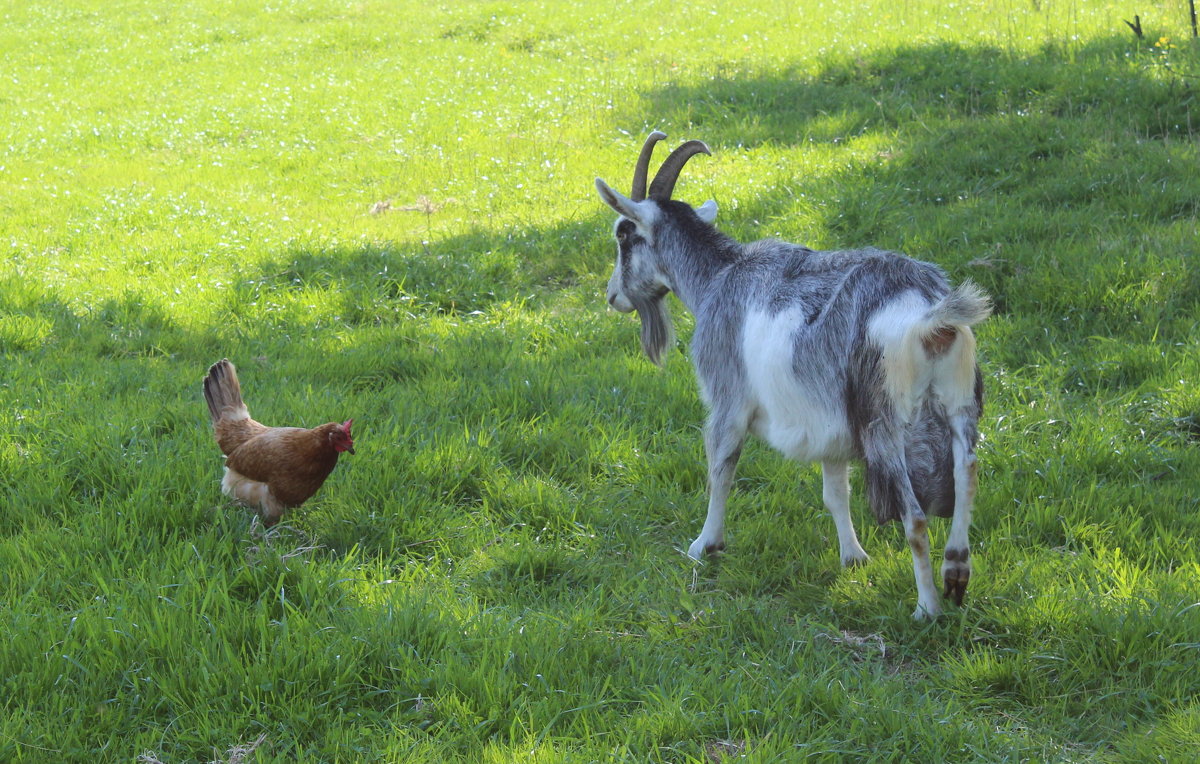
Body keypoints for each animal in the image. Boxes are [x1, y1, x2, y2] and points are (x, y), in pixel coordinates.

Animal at [595, 132, 988, 618]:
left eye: (623, 235)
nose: (613, 296)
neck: (719, 276)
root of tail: (929, 316)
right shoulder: (828, 425)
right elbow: (836, 493)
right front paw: (853, 558)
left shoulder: (726, 397)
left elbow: (720, 468)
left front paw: (704, 545)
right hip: (959, 401)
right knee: (967, 472)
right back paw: (956, 569)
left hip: (885, 422)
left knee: (914, 515)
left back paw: (927, 606)